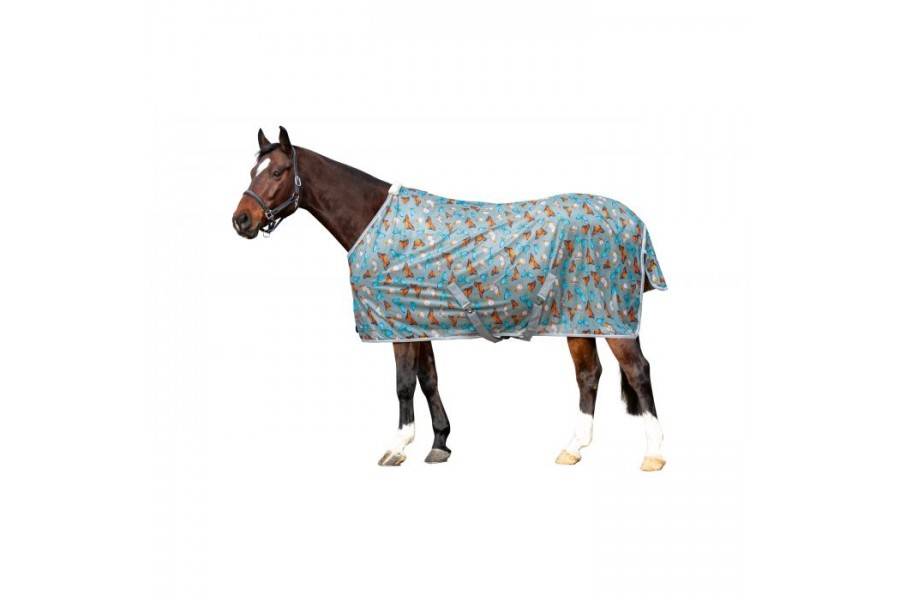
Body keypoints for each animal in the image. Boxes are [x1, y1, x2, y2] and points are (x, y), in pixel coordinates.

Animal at [232, 126, 667, 471]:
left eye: (277, 172)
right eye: (253, 171)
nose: (241, 220)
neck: (373, 219)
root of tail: (636, 221)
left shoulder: (398, 325)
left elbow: (403, 384)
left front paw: (397, 447)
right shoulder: (418, 322)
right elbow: (428, 380)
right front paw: (440, 443)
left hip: (610, 317)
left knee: (637, 371)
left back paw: (654, 455)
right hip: (579, 318)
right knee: (588, 375)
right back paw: (573, 448)